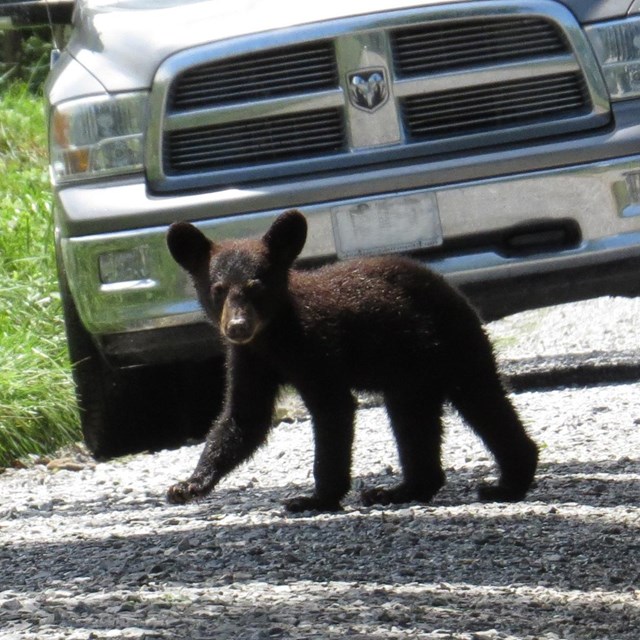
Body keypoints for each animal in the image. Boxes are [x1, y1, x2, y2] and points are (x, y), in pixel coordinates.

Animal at [166, 209, 538, 512]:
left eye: (256, 287)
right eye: (217, 289)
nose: (237, 326)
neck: (274, 337)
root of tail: (448, 286)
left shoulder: (316, 349)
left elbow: (333, 410)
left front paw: (315, 498)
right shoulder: (250, 359)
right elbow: (244, 418)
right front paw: (188, 484)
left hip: (452, 346)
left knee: (481, 401)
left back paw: (505, 483)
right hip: (415, 374)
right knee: (420, 420)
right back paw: (404, 490)